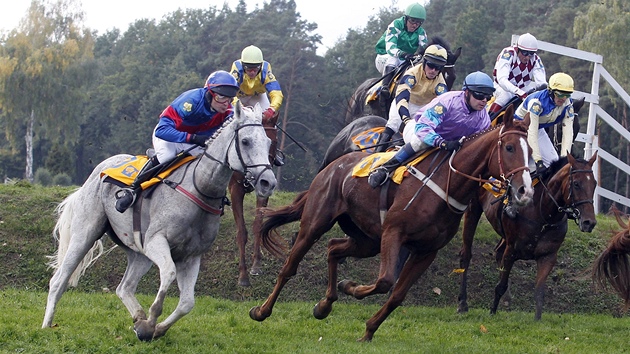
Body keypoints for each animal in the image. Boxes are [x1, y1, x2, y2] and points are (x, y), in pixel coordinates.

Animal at [226, 113, 278, 288]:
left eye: (271, 142)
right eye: (246, 142)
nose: (267, 178)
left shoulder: (263, 191)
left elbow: (258, 224)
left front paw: (256, 265)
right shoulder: (235, 190)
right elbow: (241, 231)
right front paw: (243, 275)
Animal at [249, 112, 536, 342]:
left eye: (531, 152)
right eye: (510, 147)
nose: (525, 191)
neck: (447, 184)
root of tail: (333, 165)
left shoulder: (426, 251)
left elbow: (397, 294)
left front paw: (367, 328)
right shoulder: (393, 233)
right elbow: (385, 281)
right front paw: (353, 289)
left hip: (366, 240)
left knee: (333, 248)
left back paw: (324, 305)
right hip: (316, 223)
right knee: (290, 267)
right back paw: (262, 310)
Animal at [456, 153, 600, 320]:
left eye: (594, 184)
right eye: (576, 184)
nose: (589, 222)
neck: (543, 214)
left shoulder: (548, 257)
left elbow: (539, 292)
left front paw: (537, 320)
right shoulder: (512, 250)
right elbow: (500, 286)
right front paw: (492, 312)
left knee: (498, 251)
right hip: (472, 208)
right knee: (466, 254)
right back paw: (462, 303)